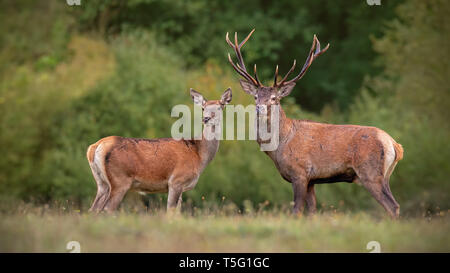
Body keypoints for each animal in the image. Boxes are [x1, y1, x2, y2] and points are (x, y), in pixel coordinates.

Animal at [85, 88, 232, 211]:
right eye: (203, 108)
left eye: (220, 107)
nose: (206, 119)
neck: (199, 155)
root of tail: (95, 147)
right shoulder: (176, 180)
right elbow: (170, 212)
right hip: (120, 180)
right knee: (107, 210)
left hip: (102, 183)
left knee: (93, 210)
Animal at [227, 29, 402, 217]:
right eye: (255, 96)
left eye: (274, 98)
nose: (259, 108)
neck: (280, 145)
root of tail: (394, 144)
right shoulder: (312, 180)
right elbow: (312, 212)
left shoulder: (300, 173)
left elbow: (296, 210)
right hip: (385, 175)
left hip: (370, 172)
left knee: (392, 205)